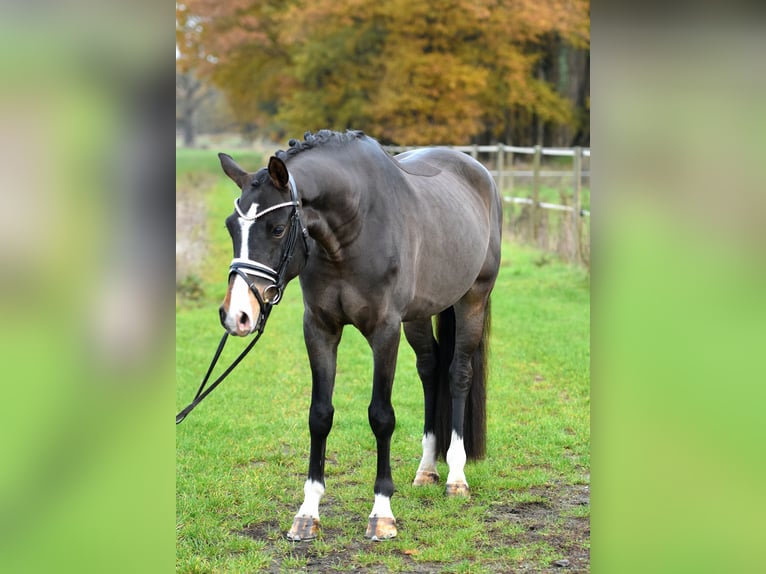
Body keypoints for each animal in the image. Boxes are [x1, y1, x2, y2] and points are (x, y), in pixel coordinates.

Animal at [216, 128, 504, 544]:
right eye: (230, 227)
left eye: (277, 228)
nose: (236, 316)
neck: (354, 227)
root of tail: (478, 171)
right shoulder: (319, 329)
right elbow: (319, 415)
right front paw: (307, 513)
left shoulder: (385, 331)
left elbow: (381, 416)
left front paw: (382, 513)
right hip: (420, 314)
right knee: (430, 369)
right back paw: (427, 469)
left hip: (473, 299)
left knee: (458, 374)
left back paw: (456, 476)